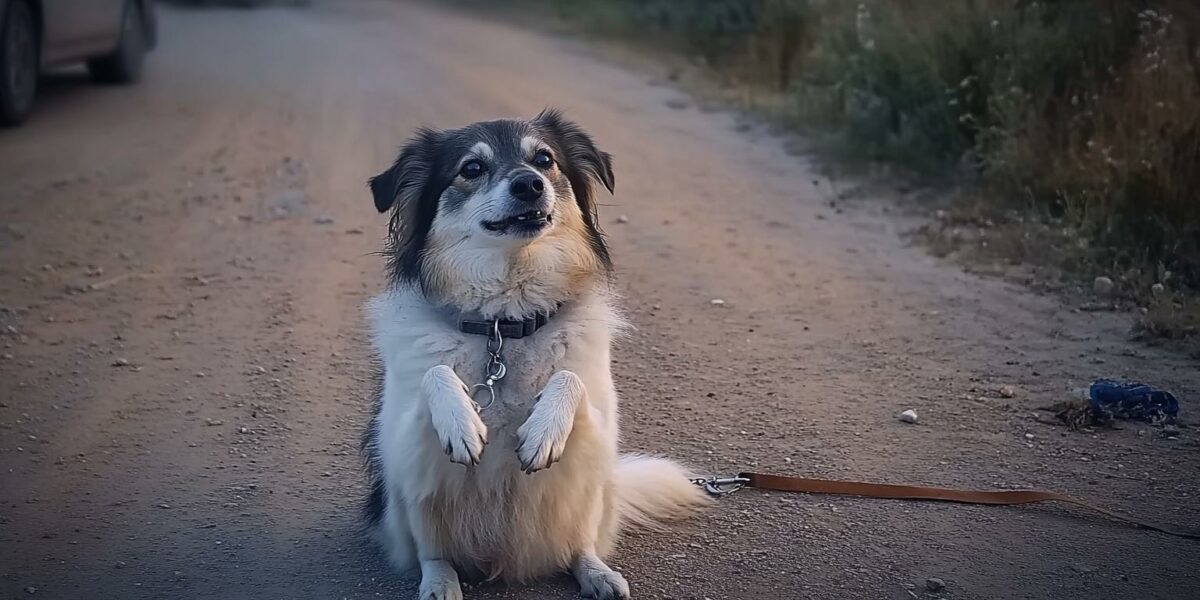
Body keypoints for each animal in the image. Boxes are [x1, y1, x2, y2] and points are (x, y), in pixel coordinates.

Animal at [360, 111, 705, 600]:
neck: (504, 326)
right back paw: (441, 583)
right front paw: (461, 424)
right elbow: (436, 371)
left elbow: (569, 377)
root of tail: (503, 560)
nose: (529, 185)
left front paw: (544, 433)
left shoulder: (601, 425)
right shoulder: (398, 439)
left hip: (589, 484)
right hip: (411, 502)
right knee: (433, 553)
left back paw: (597, 573)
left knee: (578, 544)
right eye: (471, 168)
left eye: (544, 159)